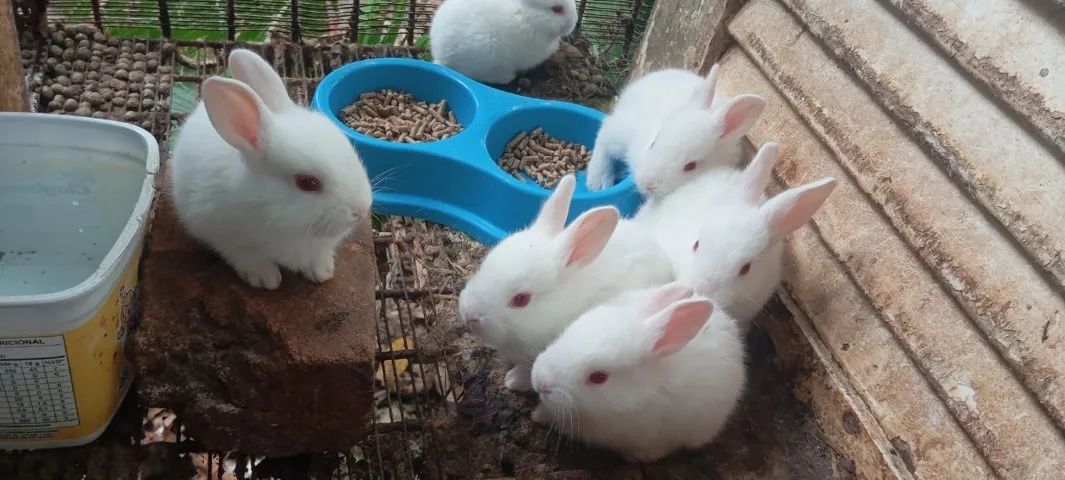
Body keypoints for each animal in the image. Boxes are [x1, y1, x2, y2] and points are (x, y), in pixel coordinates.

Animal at [169, 49, 372, 290]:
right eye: (307, 183)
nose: (361, 210)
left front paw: (322, 273)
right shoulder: (226, 237)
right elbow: (248, 257)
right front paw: (266, 279)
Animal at [429, 0, 578, 85]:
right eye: (557, 9)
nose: (574, 21)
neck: (526, 14)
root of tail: (439, 56)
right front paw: (557, 46)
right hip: (487, 55)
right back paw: (507, 77)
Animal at [585, 64, 767, 199]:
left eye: (691, 166)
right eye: (653, 143)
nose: (647, 183)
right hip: (621, 130)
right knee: (604, 136)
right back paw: (598, 181)